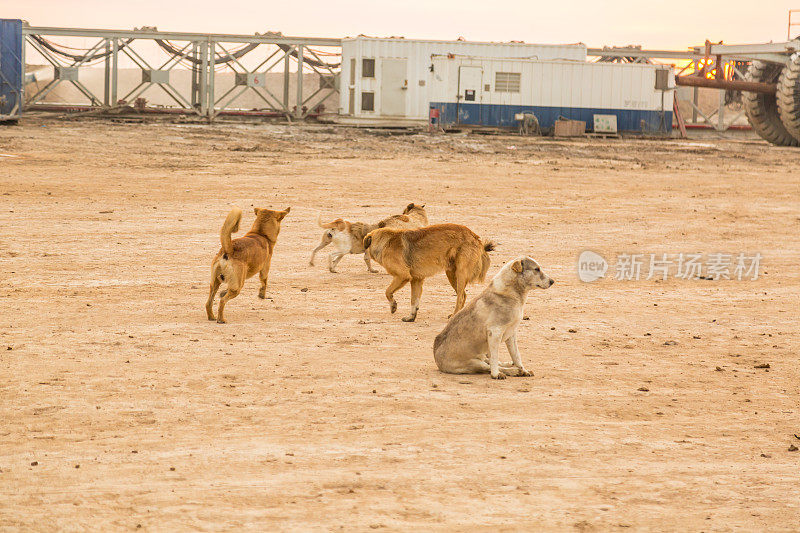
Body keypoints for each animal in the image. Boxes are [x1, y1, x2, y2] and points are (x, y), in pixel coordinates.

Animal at [364, 221, 494, 320]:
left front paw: (393, 306)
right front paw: (411, 317)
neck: (386, 242)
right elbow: (414, 300)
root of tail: (474, 236)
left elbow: (387, 291)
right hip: (452, 274)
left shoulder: (402, 276)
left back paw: (454, 315)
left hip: (460, 273)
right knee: (463, 295)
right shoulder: (416, 279)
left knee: (461, 297)